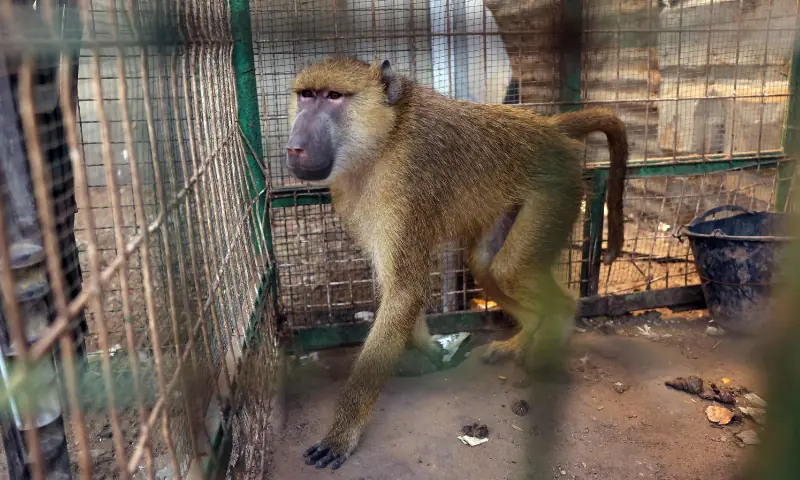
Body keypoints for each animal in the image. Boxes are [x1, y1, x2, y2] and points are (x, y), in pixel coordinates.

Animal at [284, 56, 628, 470]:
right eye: (306, 95)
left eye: (334, 97)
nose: (295, 147)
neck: (385, 138)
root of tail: (546, 126)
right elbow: (399, 289)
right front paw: (432, 348)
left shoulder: (406, 183)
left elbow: (405, 290)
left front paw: (342, 433)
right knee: (486, 265)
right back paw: (523, 337)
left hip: (556, 189)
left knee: (510, 270)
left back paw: (553, 334)